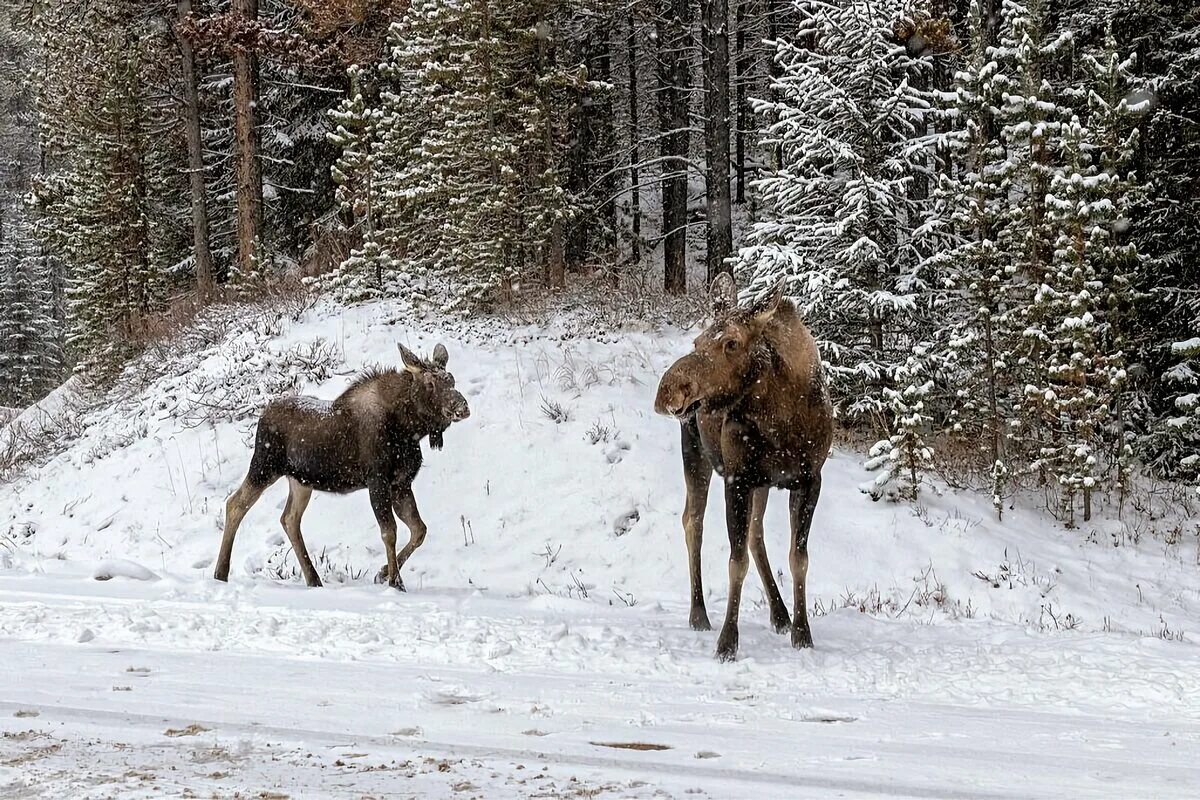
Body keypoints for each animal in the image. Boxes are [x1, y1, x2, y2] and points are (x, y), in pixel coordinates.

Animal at [216, 340, 468, 592]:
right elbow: (389, 532)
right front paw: (395, 582)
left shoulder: (401, 483)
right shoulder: (378, 481)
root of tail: (262, 415)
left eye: (452, 380)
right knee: (235, 504)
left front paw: (382, 573)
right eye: (430, 383)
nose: (462, 407)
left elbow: (419, 529)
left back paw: (313, 579)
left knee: (289, 518)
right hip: (264, 466)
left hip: (300, 481)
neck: (408, 429)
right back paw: (221, 572)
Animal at [657, 275, 835, 662]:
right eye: (697, 341)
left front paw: (802, 633)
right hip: (697, 454)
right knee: (693, 522)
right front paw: (728, 642)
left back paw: (780, 614)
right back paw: (699, 614)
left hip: (763, 482)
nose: (668, 390)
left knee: (755, 534)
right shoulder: (737, 478)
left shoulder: (809, 479)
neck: (782, 419)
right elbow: (735, 562)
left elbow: (798, 558)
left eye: (732, 343)